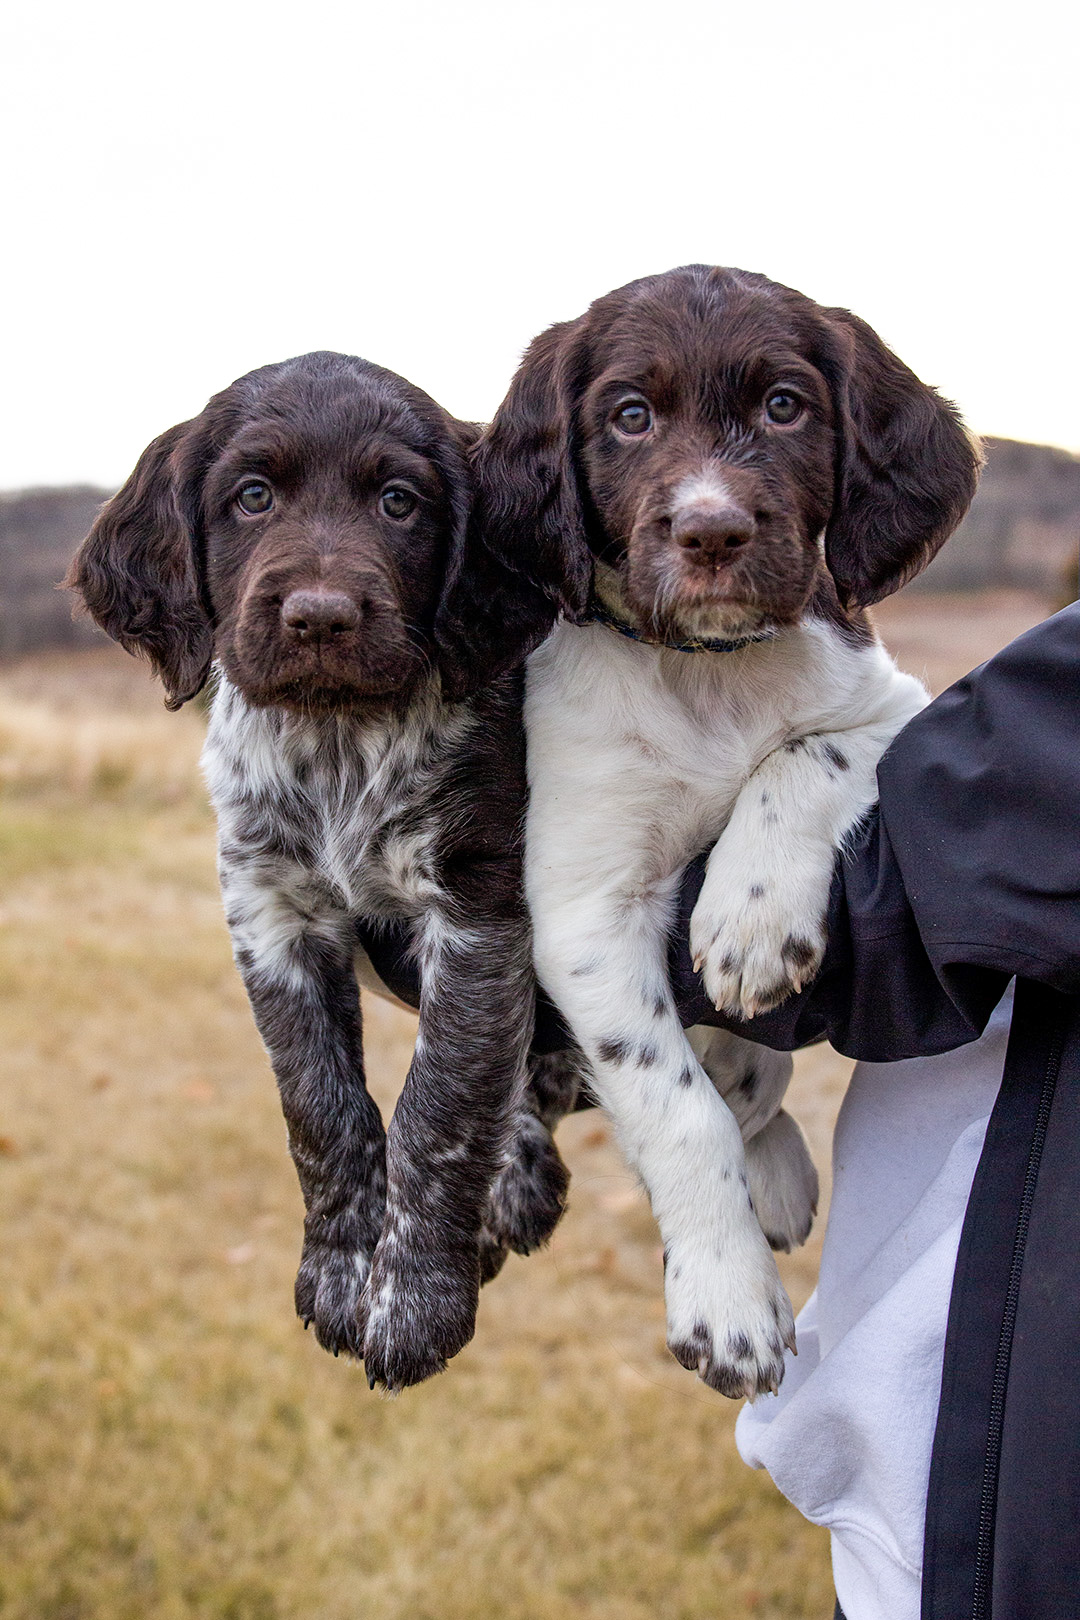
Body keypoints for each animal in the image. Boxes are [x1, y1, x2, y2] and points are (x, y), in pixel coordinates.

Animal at [69, 351, 573, 1393]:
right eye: (252, 496)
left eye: (399, 501)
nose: (321, 617)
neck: (338, 739)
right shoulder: (270, 916)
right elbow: (320, 1104)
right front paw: (342, 1275)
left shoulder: (479, 911)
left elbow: (444, 1102)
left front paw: (417, 1300)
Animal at [433, 265, 984, 1393]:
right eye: (629, 418)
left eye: (784, 405)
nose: (713, 533)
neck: (708, 671)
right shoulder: (584, 907)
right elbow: (673, 1109)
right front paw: (726, 1301)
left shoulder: (893, 710)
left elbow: (798, 758)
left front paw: (751, 920)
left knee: (754, 1089)